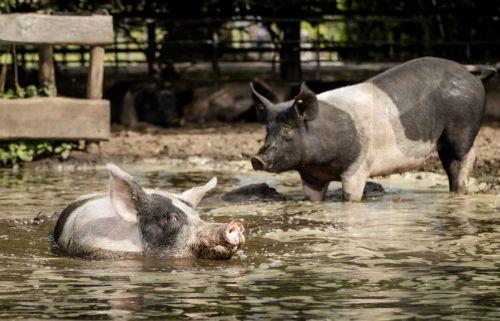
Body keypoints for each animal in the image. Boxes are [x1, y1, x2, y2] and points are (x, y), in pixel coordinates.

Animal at [250, 57, 488, 200]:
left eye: (288, 130)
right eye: (267, 129)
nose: (256, 159)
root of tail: (468, 71)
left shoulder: (357, 168)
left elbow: (351, 198)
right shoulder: (311, 177)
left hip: (462, 128)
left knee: (466, 158)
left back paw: (461, 192)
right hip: (444, 142)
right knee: (451, 166)